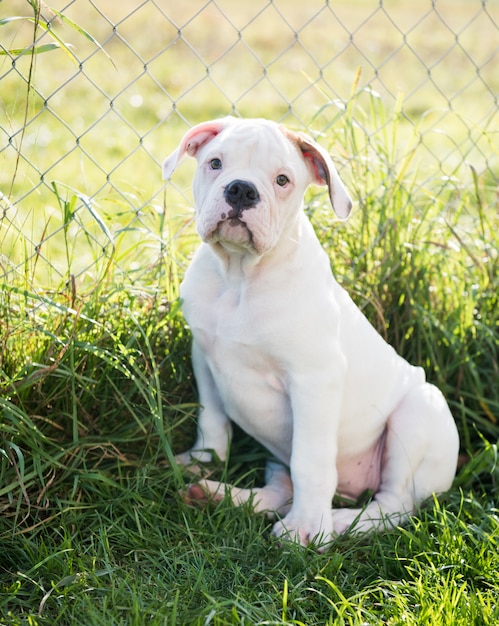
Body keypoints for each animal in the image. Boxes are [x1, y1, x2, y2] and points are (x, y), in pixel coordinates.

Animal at [162, 117, 458, 544]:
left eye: (282, 180)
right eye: (215, 163)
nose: (241, 189)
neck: (239, 276)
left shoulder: (314, 380)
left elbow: (311, 460)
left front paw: (305, 527)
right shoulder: (204, 355)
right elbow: (212, 420)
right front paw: (203, 462)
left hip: (418, 413)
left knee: (395, 505)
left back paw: (339, 521)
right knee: (280, 488)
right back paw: (217, 495)